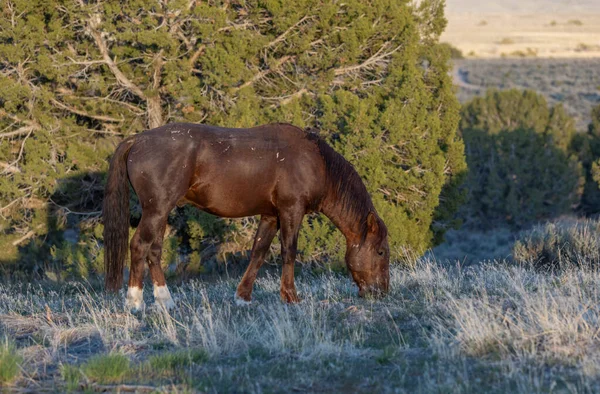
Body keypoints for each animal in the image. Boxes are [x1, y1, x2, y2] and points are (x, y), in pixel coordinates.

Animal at [103, 123, 392, 310]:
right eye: (380, 252)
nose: (381, 292)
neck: (315, 161)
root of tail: (138, 140)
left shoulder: (270, 215)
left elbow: (259, 252)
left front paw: (243, 296)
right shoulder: (291, 210)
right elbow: (289, 251)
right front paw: (291, 296)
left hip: (161, 213)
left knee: (154, 251)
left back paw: (165, 300)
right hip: (157, 210)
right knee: (139, 246)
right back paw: (135, 302)